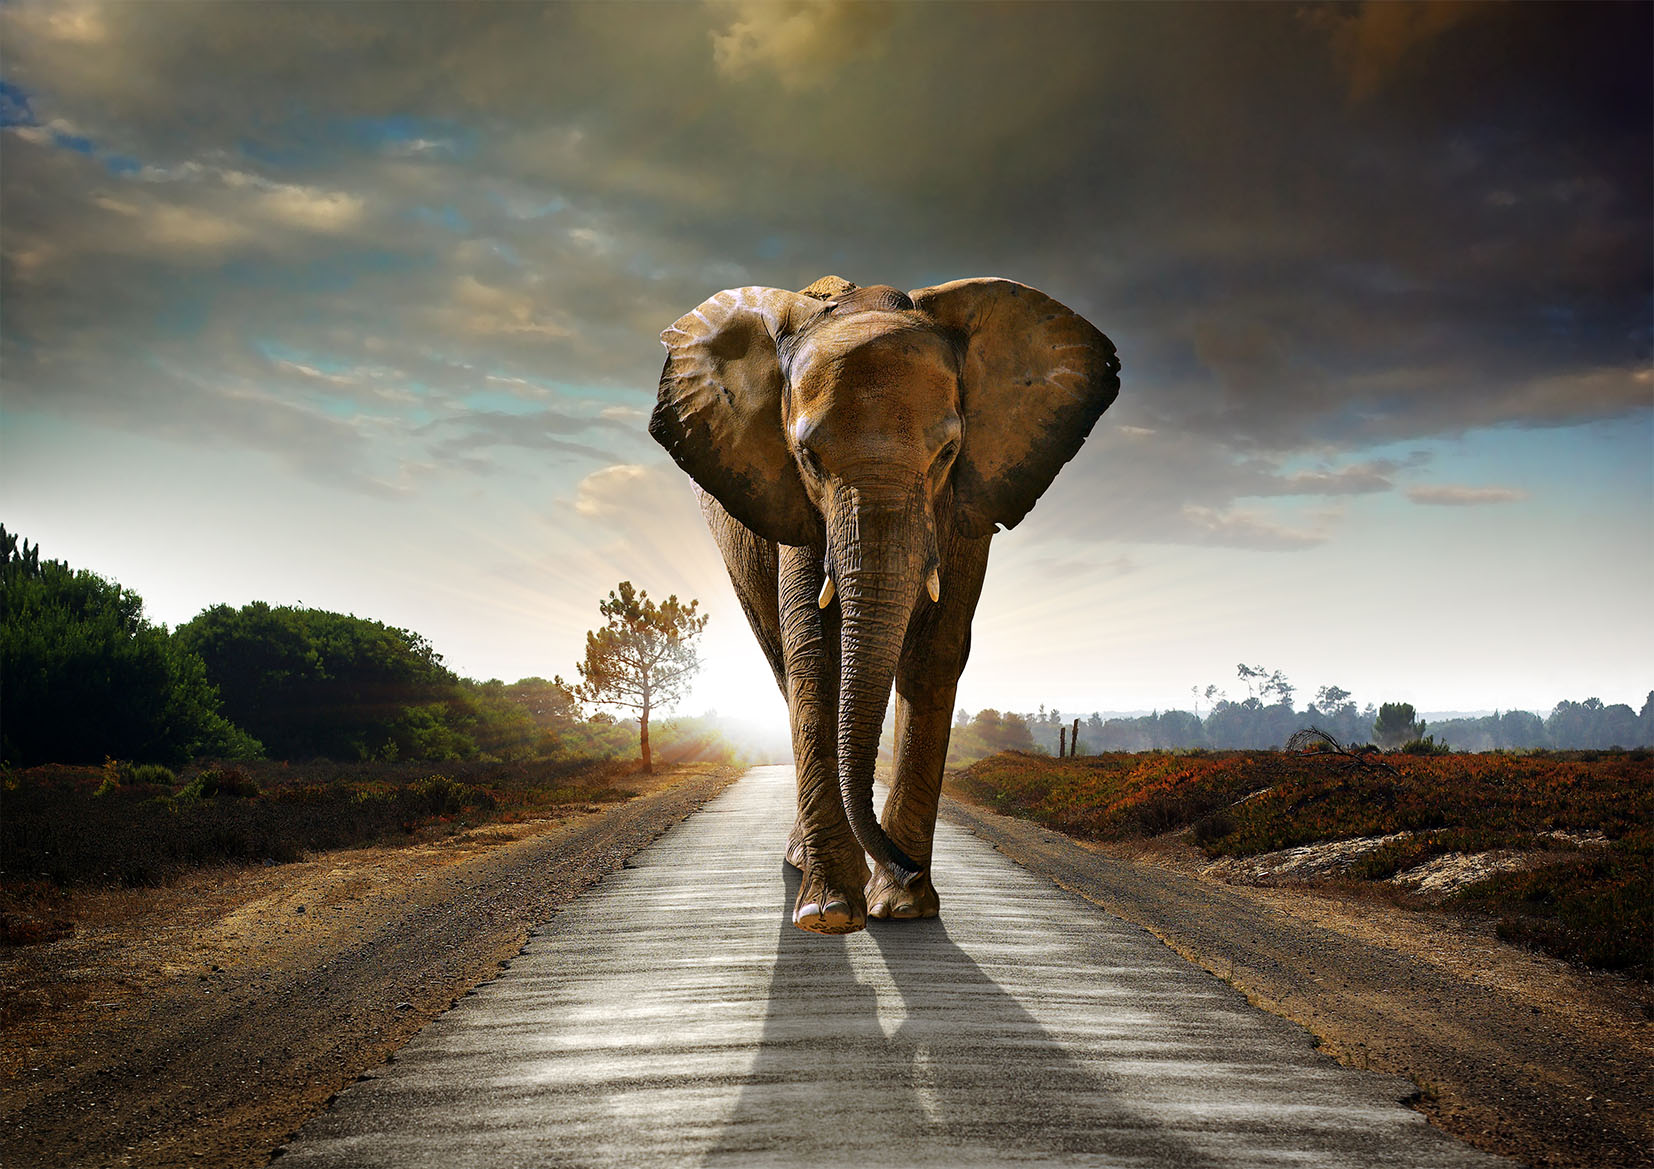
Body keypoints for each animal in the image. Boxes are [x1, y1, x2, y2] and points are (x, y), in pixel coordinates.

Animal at [650, 275, 1119, 934]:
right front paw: (829, 914)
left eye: (948, 452)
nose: (904, 865)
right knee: (780, 661)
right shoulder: (795, 504)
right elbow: (814, 654)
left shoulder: (968, 502)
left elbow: (935, 652)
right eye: (808, 458)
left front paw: (903, 907)